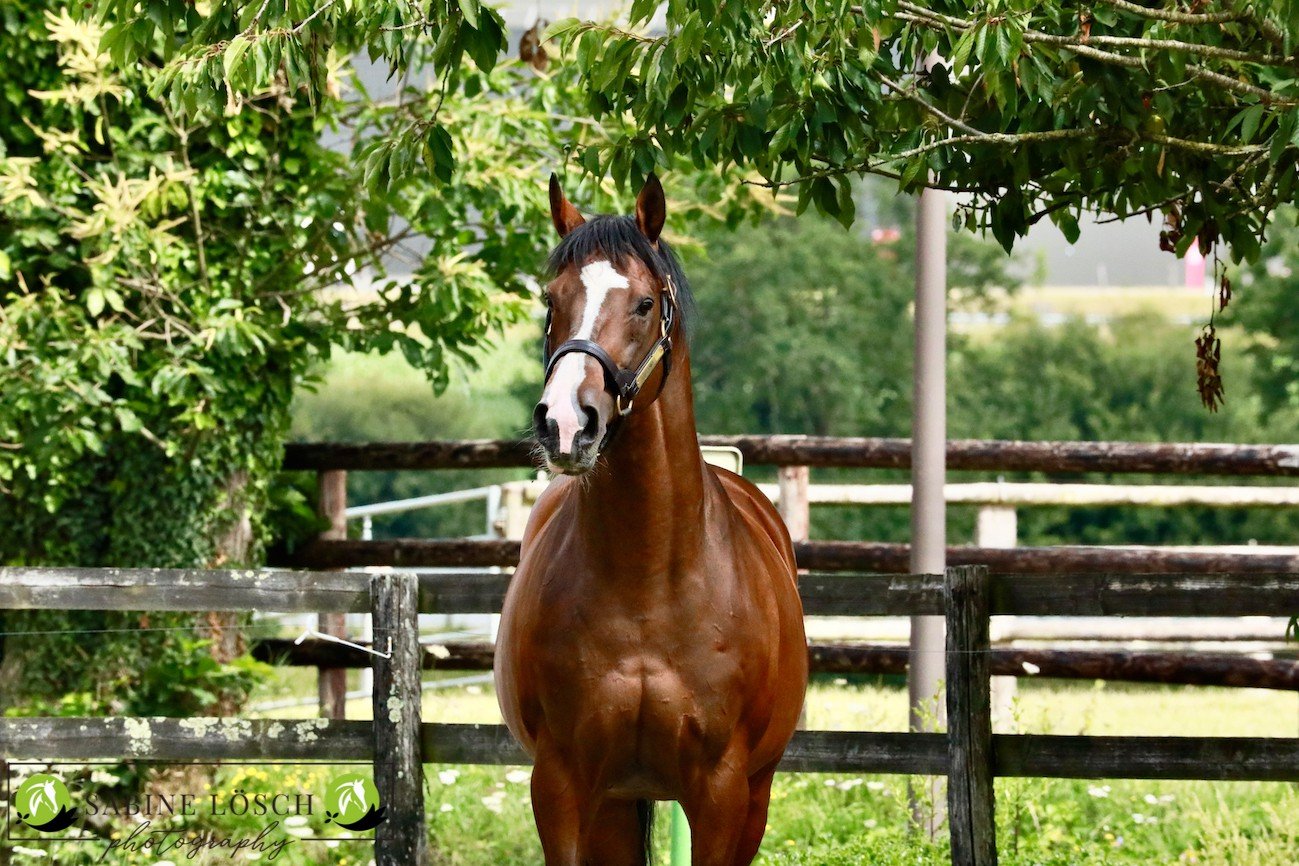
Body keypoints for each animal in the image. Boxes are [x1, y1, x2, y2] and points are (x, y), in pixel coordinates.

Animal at [494, 173, 808, 866]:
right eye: (551, 300)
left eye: (643, 304)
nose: (565, 423)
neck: (647, 582)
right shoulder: (561, 784)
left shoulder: (721, 792)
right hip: (614, 804)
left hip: (755, 794)